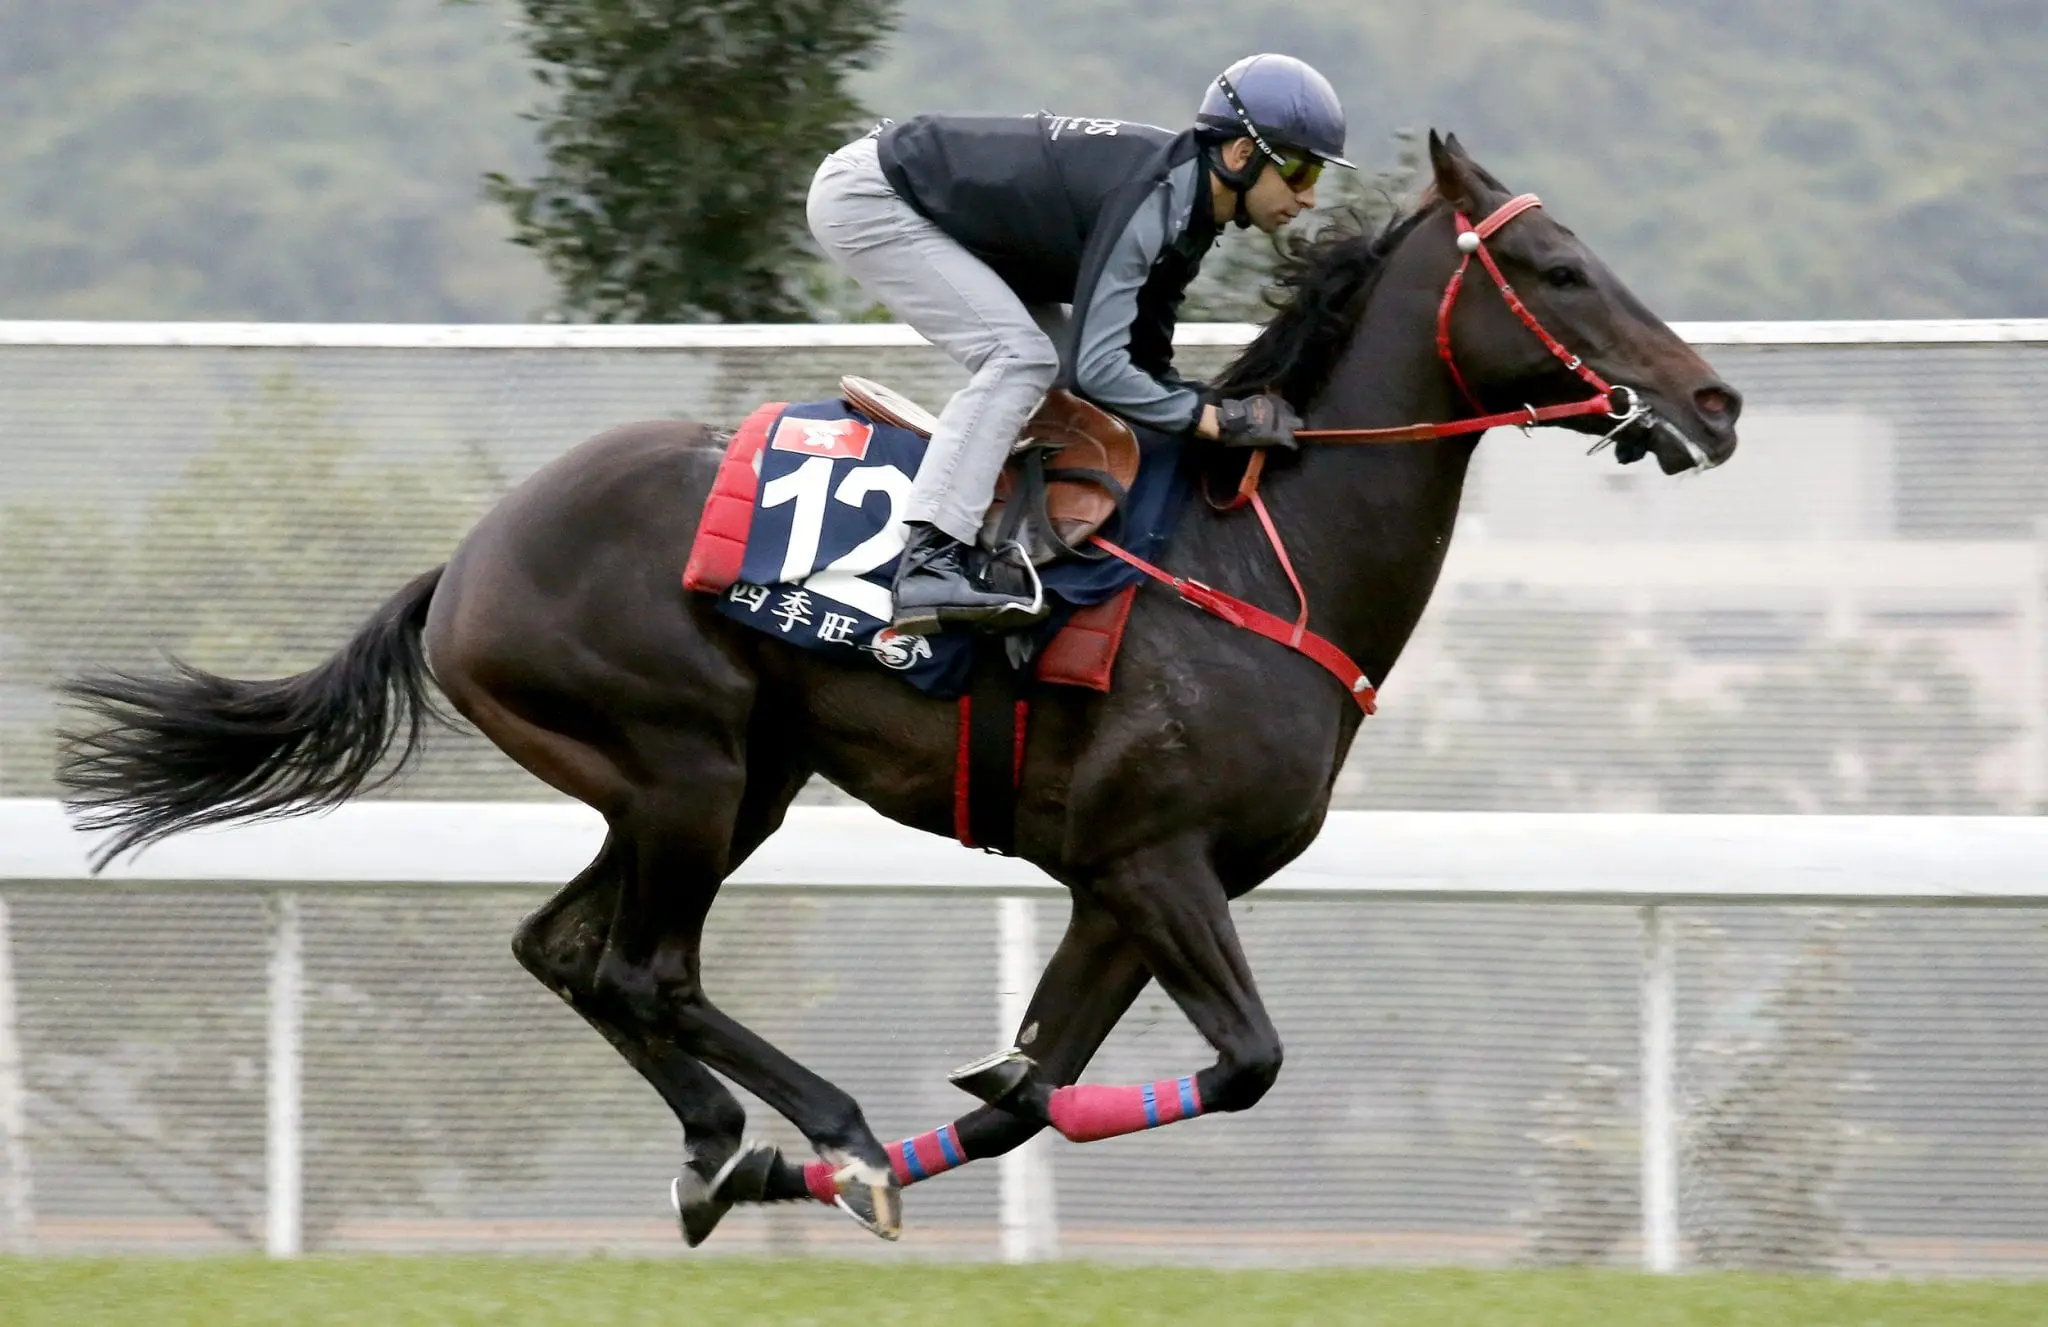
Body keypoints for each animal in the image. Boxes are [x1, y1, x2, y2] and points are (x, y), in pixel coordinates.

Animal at [56, 135, 1736, 1245]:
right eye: (1558, 267)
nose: (1711, 402)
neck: (1263, 554)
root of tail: (465, 559)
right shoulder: (1160, 862)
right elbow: (1238, 1062)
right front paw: (871, 1143)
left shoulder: (1118, 888)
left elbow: (1026, 1088)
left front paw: (922, 1119)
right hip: (686, 760)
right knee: (645, 965)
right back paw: (824, 1130)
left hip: (722, 782)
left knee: (566, 948)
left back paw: (731, 1150)